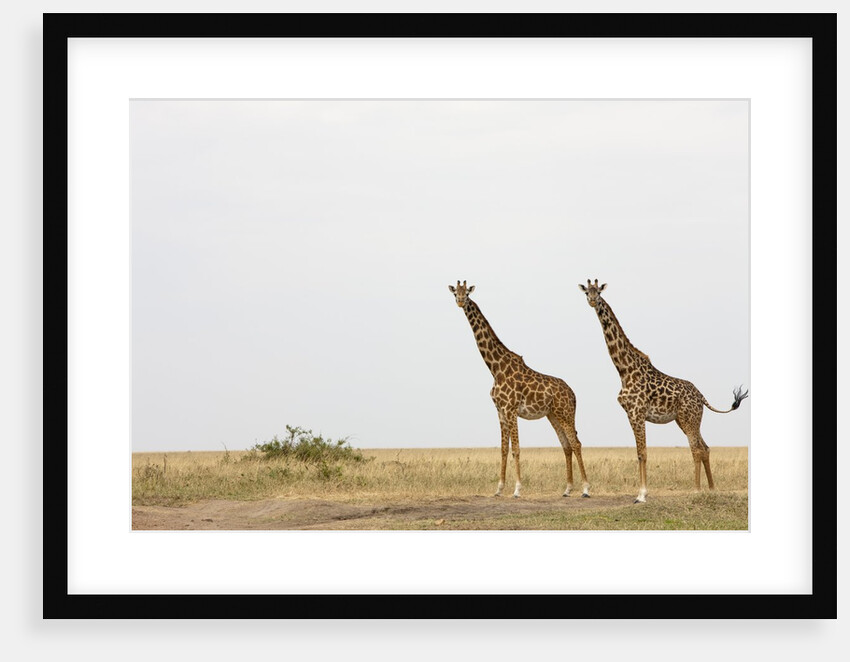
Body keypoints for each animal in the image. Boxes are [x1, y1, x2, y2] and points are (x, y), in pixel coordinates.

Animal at [449, 280, 590, 498]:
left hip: (565, 413)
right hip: (553, 415)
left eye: (467, 293)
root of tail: (573, 394)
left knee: (576, 443)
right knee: (566, 445)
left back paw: (585, 488)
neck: (496, 369)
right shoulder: (500, 411)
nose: (461, 301)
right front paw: (499, 489)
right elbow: (503, 450)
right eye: (455, 293)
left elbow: (516, 449)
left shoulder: (511, 409)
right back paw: (567, 489)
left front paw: (517, 489)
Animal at [578, 279, 748, 503]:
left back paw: (696, 490)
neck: (624, 370)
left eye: (598, 292)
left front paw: (641, 495)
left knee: (696, 449)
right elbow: (639, 453)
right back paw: (711, 489)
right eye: (586, 292)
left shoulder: (637, 413)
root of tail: (701, 396)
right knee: (705, 448)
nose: (592, 301)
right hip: (685, 420)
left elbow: (642, 453)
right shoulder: (631, 414)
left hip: (689, 418)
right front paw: (642, 492)